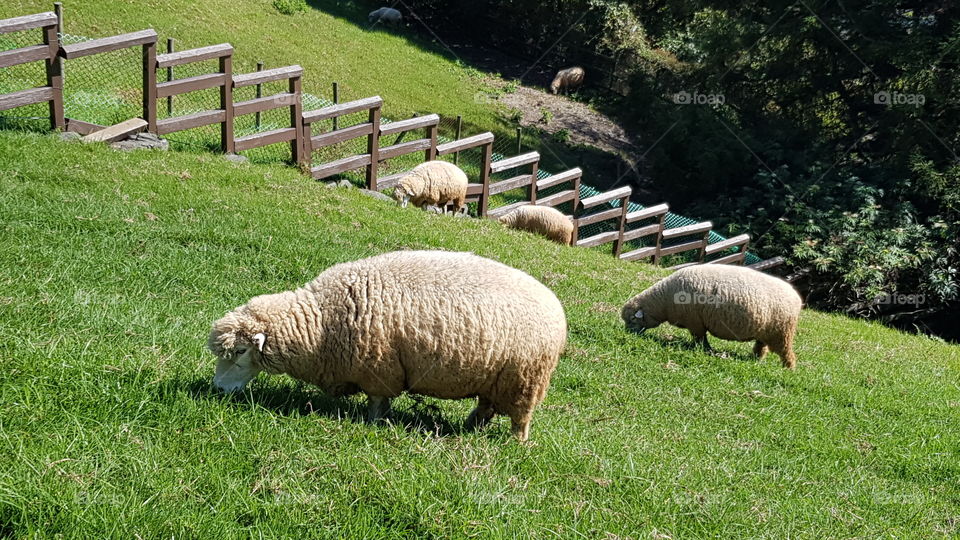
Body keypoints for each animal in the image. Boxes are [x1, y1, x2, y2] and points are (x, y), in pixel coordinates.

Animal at [208, 250, 568, 441]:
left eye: (240, 352)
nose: (217, 390)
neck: (321, 322)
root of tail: (556, 306)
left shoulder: (379, 368)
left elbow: (378, 402)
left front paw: (372, 424)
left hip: (525, 379)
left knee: (520, 418)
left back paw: (516, 444)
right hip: (496, 377)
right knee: (485, 406)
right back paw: (467, 427)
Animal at [621, 264, 802, 368]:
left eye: (632, 319)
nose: (627, 333)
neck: (663, 301)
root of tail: (796, 297)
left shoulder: (694, 321)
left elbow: (700, 338)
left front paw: (704, 350)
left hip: (782, 332)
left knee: (786, 352)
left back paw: (789, 369)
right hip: (764, 331)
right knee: (761, 347)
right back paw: (755, 359)